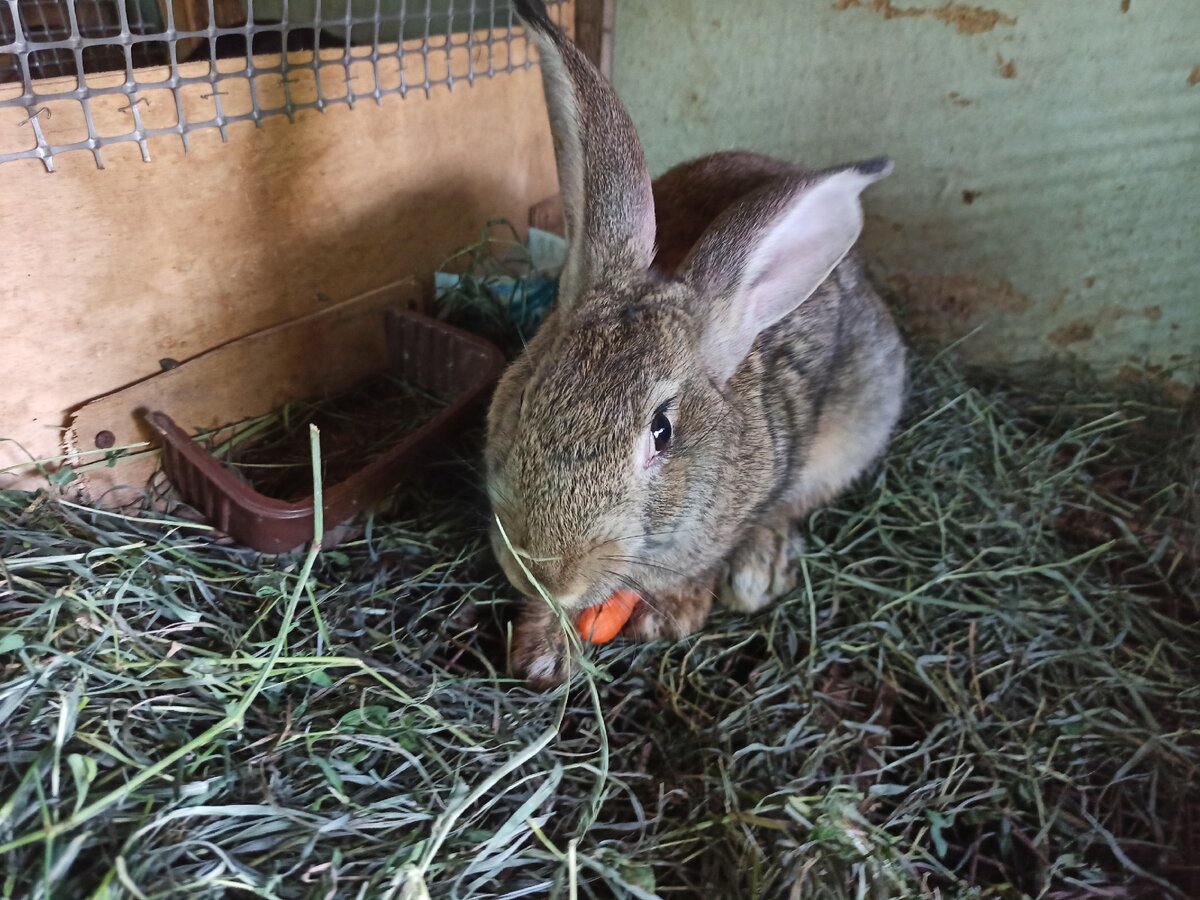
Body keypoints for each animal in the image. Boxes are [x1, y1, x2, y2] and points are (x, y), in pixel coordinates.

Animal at [482, 1, 902, 691]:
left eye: (662, 433)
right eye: (527, 399)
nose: (547, 571)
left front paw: (666, 616)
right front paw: (544, 649)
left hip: (860, 419)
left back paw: (759, 570)